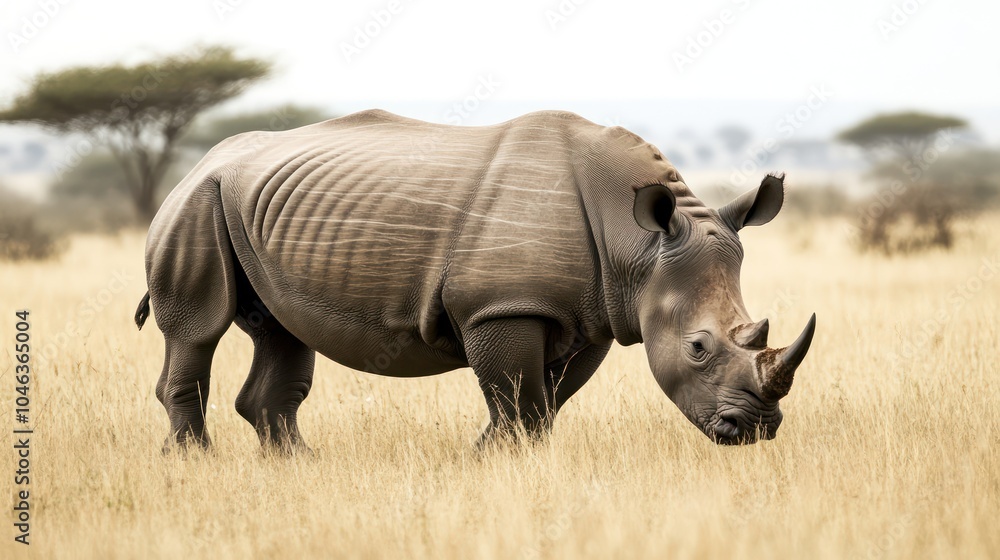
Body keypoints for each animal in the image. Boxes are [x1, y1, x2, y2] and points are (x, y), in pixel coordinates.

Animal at [135, 109, 815, 451]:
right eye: (698, 348)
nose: (755, 430)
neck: (638, 247)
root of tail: (203, 158)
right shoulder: (502, 306)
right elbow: (517, 395)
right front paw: (499, 460)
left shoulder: (589, 315)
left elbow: (544, 401)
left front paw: (494, 456)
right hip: (196, 201)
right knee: (197, 329)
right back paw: (194, 462)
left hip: (254, 207)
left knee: (281, 329)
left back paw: (296, 465)